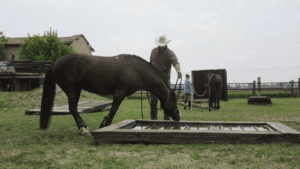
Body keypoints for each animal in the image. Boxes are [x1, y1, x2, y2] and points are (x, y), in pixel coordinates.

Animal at [39, 52, 180, 135]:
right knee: (73, 108)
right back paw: (83, 128)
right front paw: (104, 125)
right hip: (72, 90)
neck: (136, 70)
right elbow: (113, 109)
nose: (179, 116)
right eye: (173, 100)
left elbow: (113, 110)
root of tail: (56, 62)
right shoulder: (119, 92)